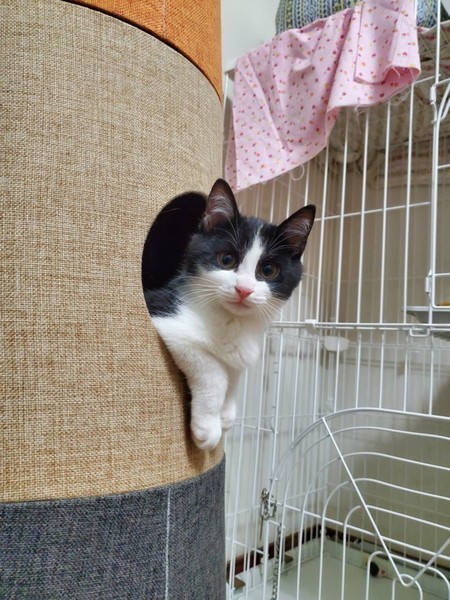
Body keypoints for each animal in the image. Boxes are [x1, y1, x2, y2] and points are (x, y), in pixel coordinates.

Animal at [144, 179, 315, 451]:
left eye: (269, 270)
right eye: (226, 259)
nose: (243, 289)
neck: (233, 321)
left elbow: (236, 370)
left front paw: (226, 414)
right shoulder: (166, 319)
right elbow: (214, 371)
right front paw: (209, 425)